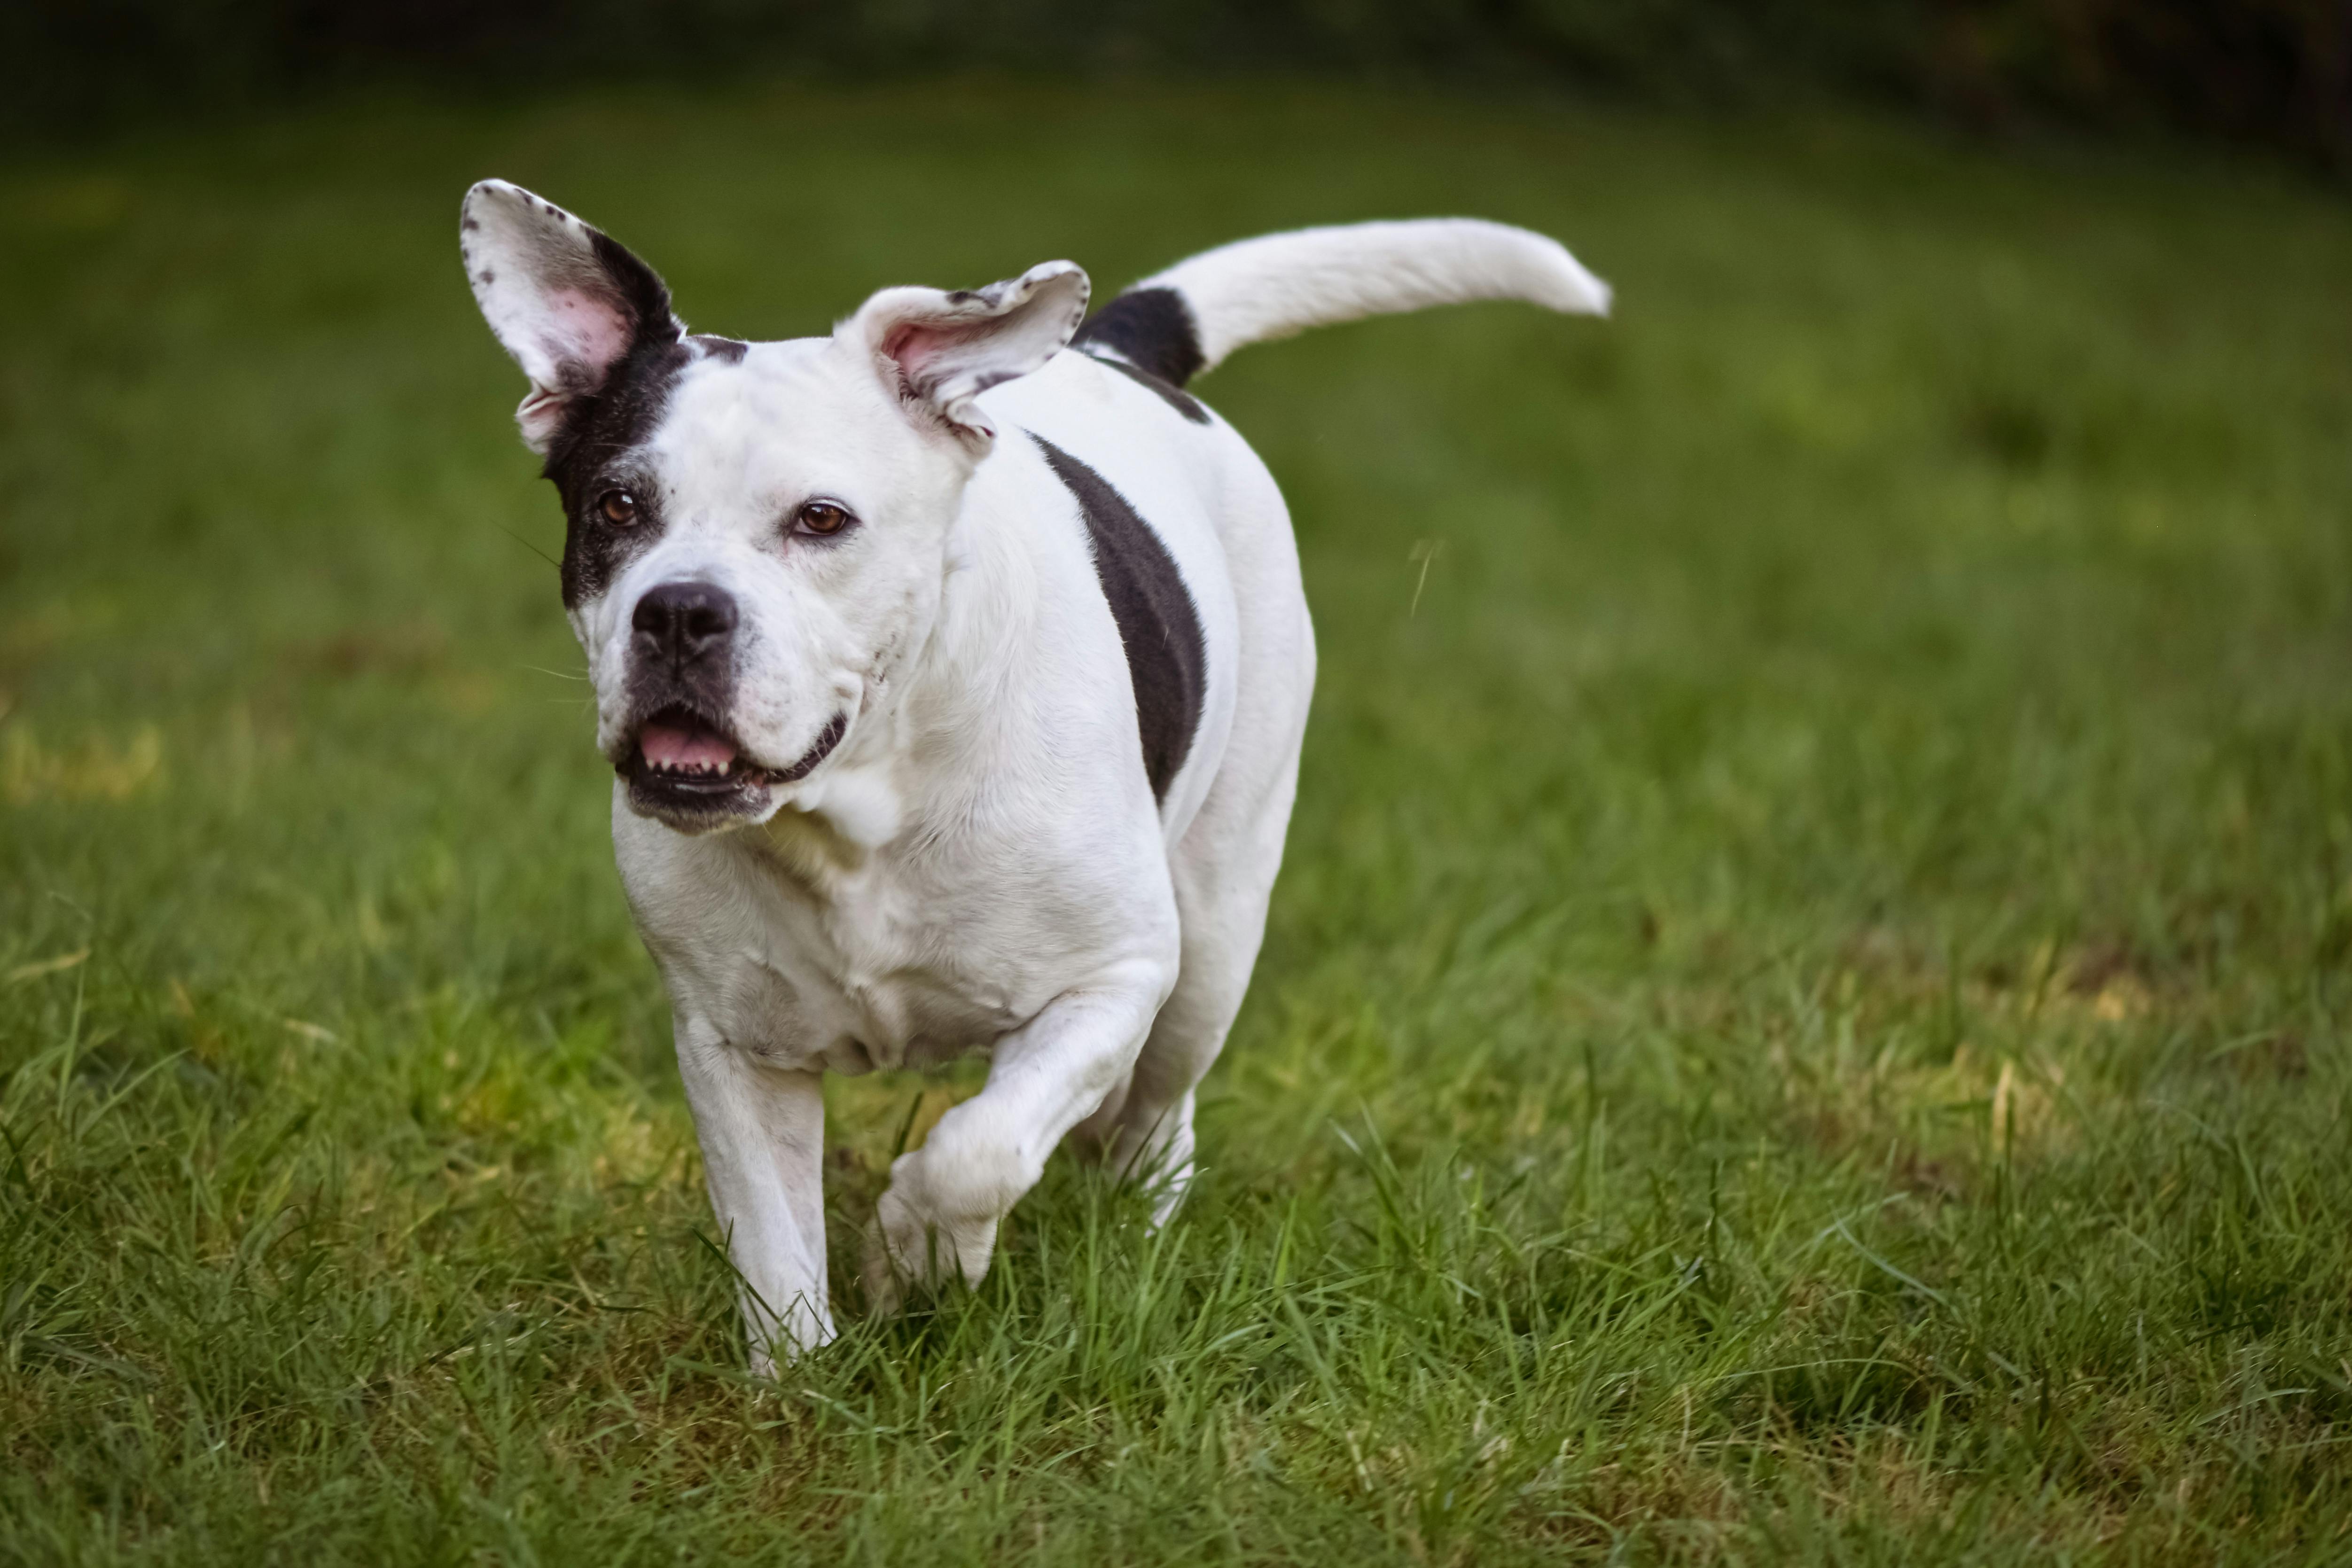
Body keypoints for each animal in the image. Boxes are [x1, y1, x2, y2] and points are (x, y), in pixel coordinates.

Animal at [456, 177, 1609, 1363]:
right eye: (617, 507)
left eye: (821, 519)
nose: (680, 610)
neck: (862, 805)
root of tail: (1112, 349)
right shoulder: (734, 1046)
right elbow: (777, 1252)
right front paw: (800, 1382)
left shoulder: (1115, 977)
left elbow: (981, 1149)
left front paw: (919, 1251)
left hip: (1214, 938)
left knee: (1157, 1112)